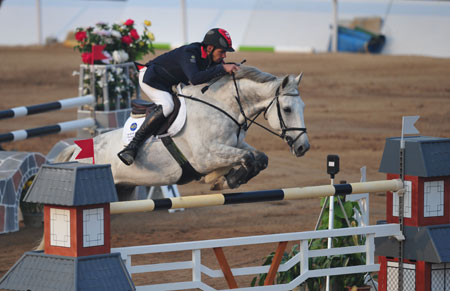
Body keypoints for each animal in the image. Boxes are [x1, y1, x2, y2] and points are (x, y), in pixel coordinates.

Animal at [55, 65, 310, 195]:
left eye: (303, 107)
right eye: (287, 109)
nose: (303, 147)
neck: (223, 106)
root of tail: (75, 152)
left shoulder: (233, 144)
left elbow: (260, 158)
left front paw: (225, 180)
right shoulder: (206, 156)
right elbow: (247, 158)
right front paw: (223, 179)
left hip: (124, 190)